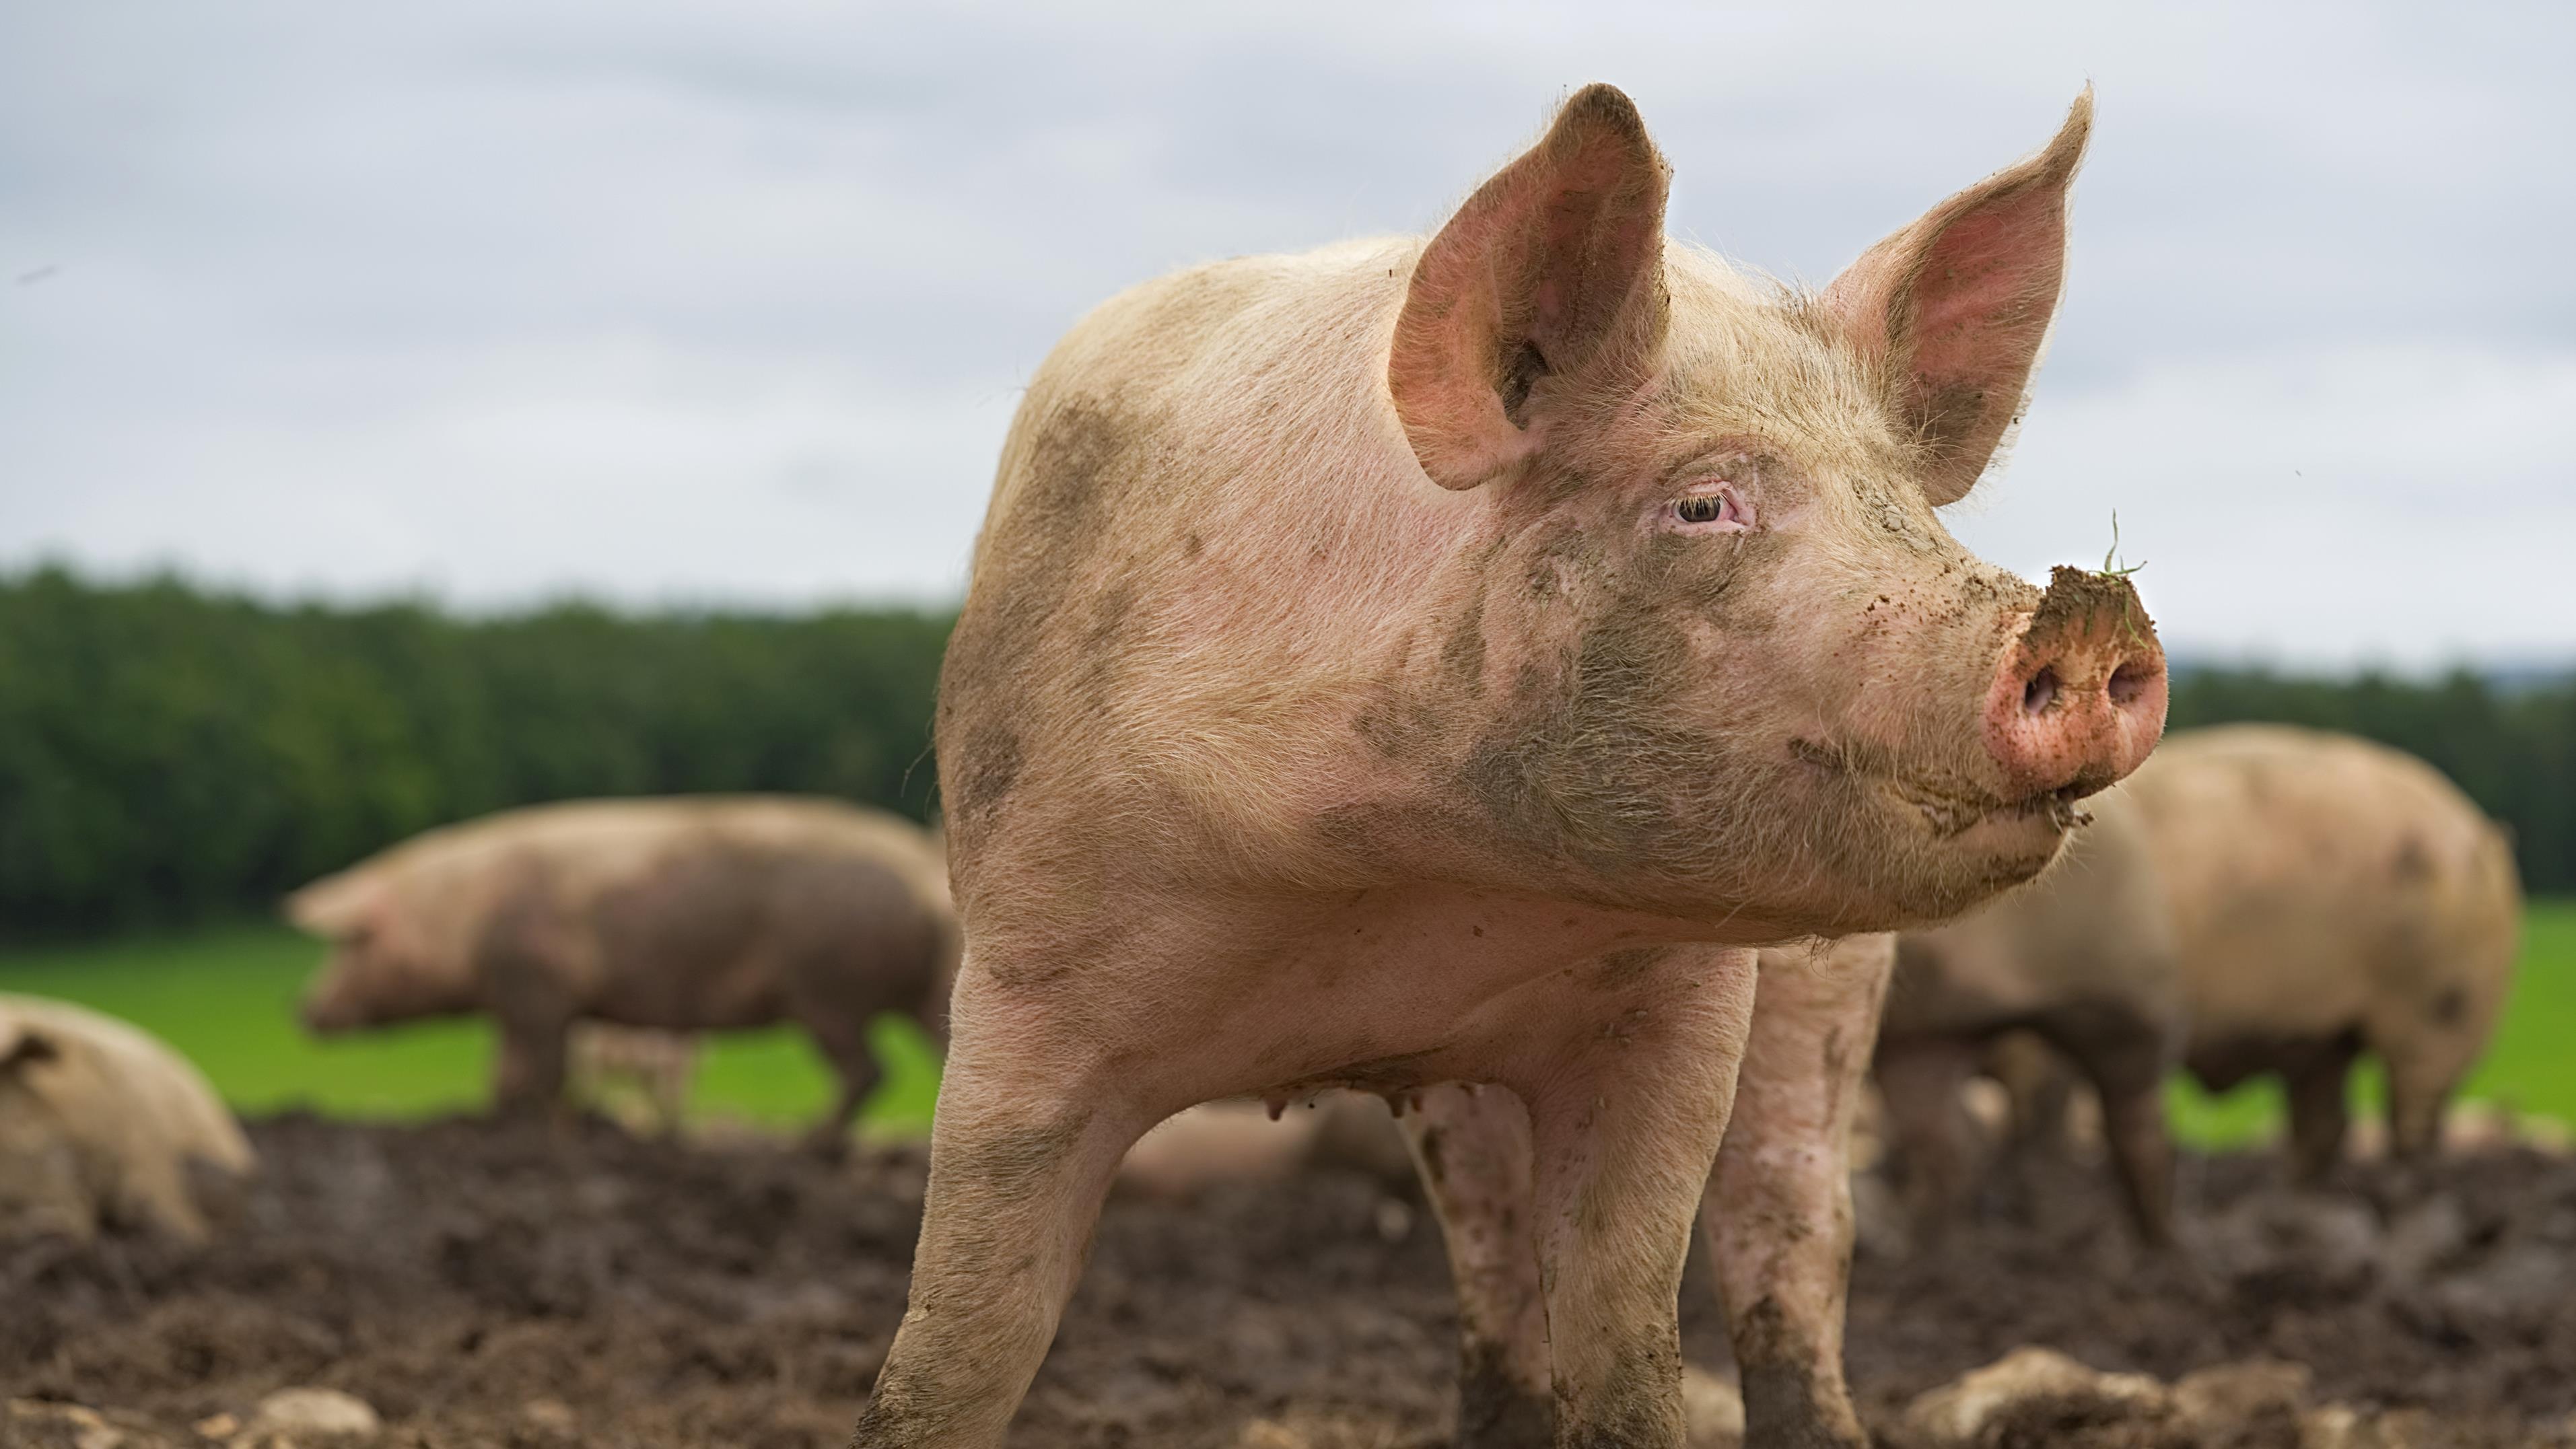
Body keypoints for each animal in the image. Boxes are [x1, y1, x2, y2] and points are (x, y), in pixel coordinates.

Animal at [289, 792, 958, 1147]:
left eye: (352, 945)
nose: (302, 1010)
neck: (461, 917)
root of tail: (927, 876)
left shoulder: (539, 986)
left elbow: (545, 1072)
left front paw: (549, 1130)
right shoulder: (514, 1000)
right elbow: (505, 1074)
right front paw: (494, 1124)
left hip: (827, 990)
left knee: (868, 1070)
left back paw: (807, 1144)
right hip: (924, 990)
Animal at [1865, 782, 2184, 1245]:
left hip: (2130, 1005)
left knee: (2137, 1133)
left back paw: (2160, 1250)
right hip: (1927, 1041)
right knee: (1953, 1146)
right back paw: (1930, 1247)